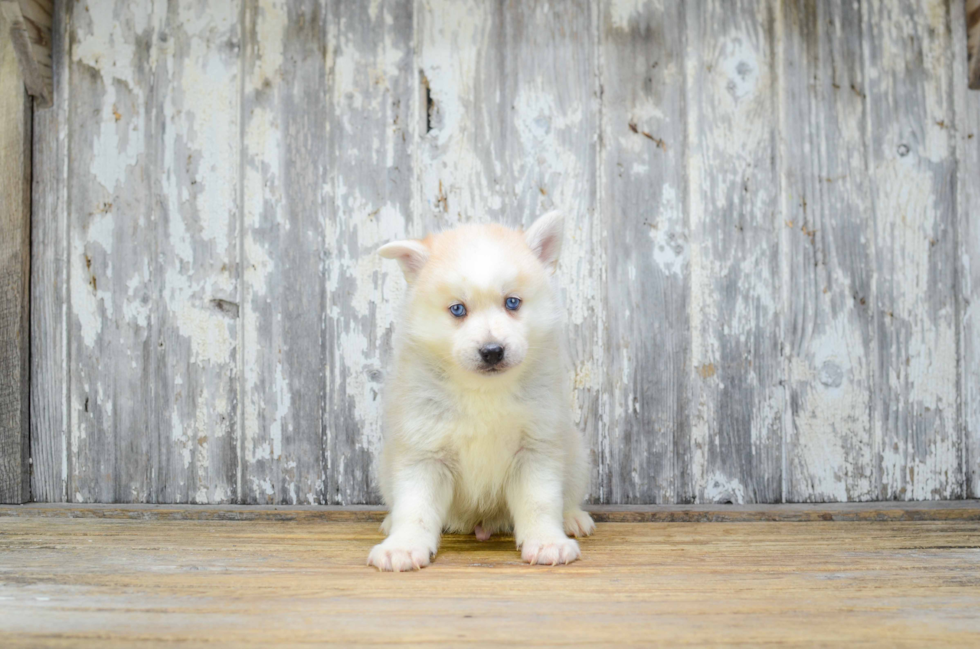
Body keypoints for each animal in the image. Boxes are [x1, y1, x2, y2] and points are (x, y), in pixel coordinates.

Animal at [370, 210, 592, 568]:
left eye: (512, 302)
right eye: (458, 309)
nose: (492, 351)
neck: (483, 392)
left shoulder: (535, 449)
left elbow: (540, 502)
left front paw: (547, 542)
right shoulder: (424, 453)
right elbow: (415, 508)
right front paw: (402, 547)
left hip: (576, 454)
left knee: (568, 495)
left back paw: (572, 517)